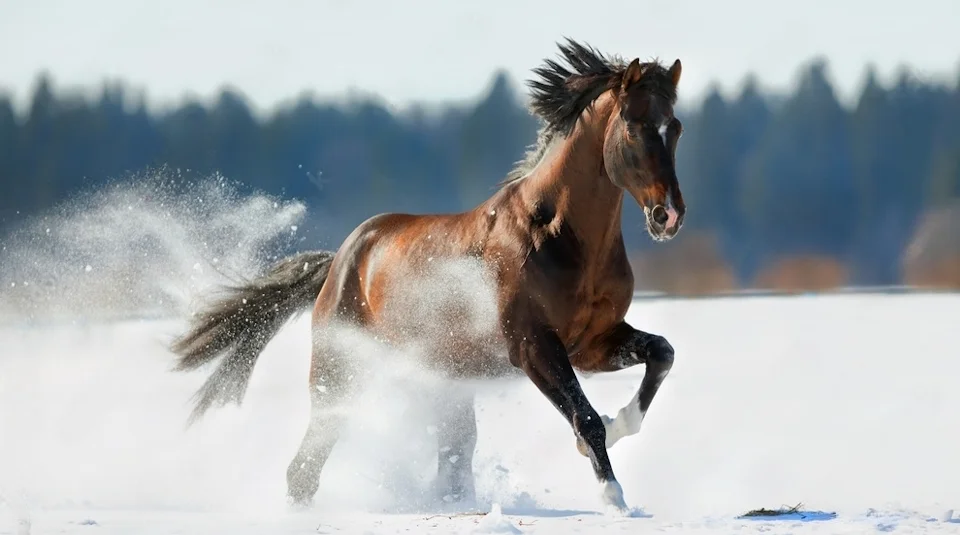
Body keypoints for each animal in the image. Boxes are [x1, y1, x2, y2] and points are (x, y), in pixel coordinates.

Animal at [169, 38, 686, 515]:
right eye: (634, 127)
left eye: (675, 127)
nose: (669, 215)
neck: (556, 234)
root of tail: (340, 262)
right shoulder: (533, 347)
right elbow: (585, 417)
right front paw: (615, 498)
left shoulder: (592, 343)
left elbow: (662, 353)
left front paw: (620, 429)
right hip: (340, 375)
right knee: (305, 467)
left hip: (444, 383)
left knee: (450, 459)